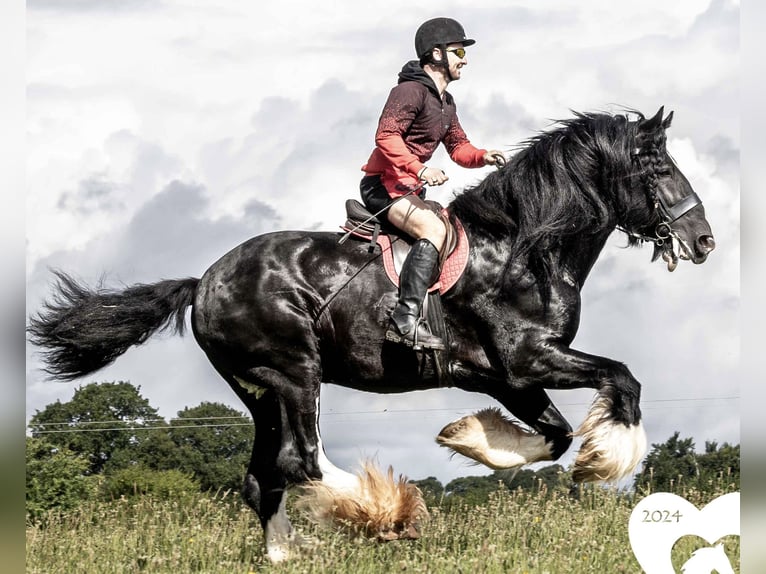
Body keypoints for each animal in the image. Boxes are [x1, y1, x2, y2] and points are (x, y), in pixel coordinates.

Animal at [28, 108, 712, 564]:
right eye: (659, 167)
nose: (703, 240)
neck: (523, 249)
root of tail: (203, 283)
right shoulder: (529, 360)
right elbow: (622, 380)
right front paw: (607, 459)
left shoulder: (505, 378)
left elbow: (554, 435)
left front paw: (468, 437)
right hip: (294, 372)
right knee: (300, 461)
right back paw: (385, 512)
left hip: (260, 391)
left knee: (262, 476)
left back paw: (287, 555)